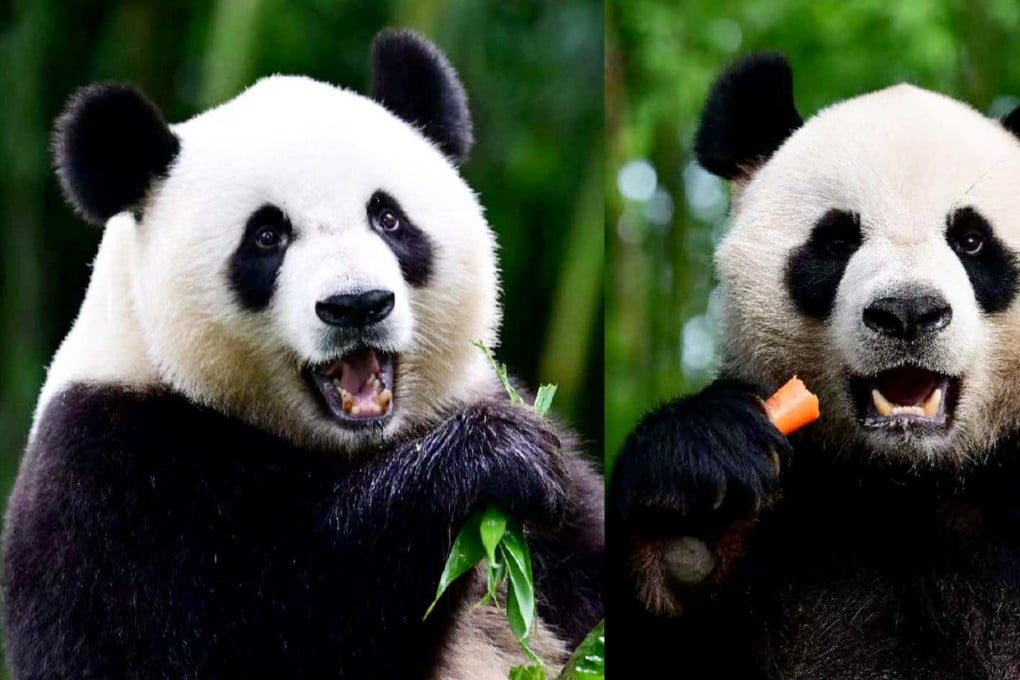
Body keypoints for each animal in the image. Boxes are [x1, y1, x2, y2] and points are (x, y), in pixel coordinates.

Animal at [1, 29, 603, 679]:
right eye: (267, 236)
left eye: (387, 217)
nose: (357, 304)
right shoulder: (107, 467)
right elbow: (218, 637)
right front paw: (489, 458)